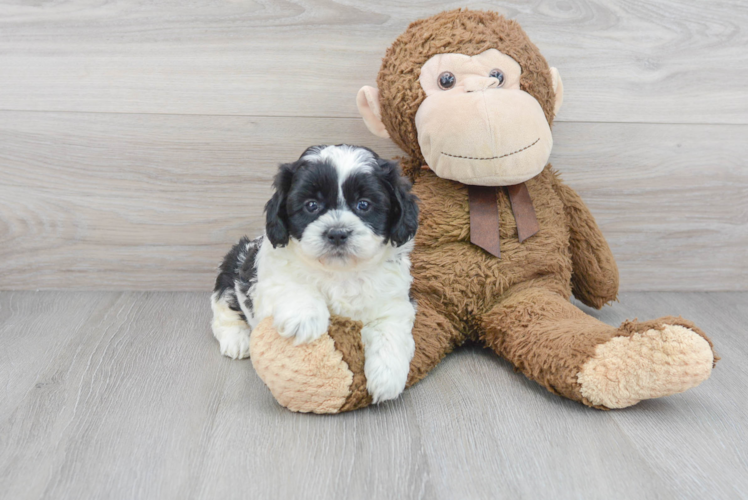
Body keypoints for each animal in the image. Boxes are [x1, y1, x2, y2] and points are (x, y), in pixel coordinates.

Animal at [212, 144, 420, 402]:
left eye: (363, 204)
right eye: (311, 205)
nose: (337, 233)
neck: (340, 273)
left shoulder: (394, 301)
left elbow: (389, 329)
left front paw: (387, 378)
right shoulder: (268, 279)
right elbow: (292, 283)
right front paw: (304, 318)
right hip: (234, 263)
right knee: (223, 307)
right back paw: (236, 339)